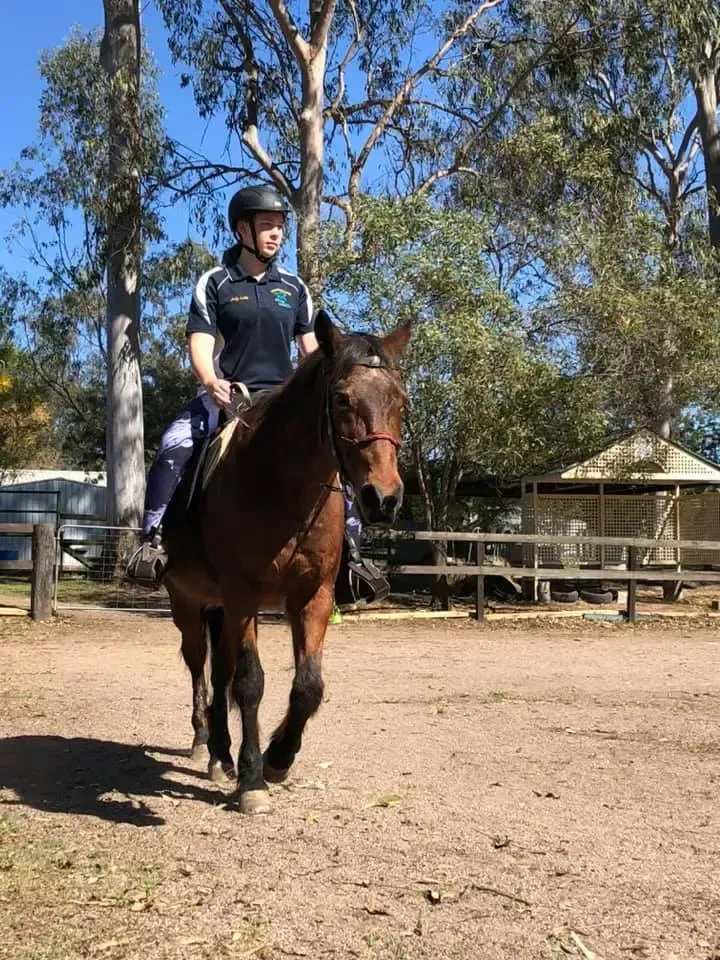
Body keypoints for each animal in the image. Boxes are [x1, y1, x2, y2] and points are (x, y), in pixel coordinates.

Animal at [162, 310, 410, 814]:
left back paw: (221, 755)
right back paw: (203, 743)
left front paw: (278, 757)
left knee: (220, 673)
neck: (282, 488)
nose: (384, 498)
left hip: (220, 609)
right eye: (341, 398)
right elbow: (250, 683)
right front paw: (253, 781)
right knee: (201, 670)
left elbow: (308, 685)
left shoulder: (312, 597)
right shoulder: (243, 597)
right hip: (189, 605)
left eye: (401, 401)